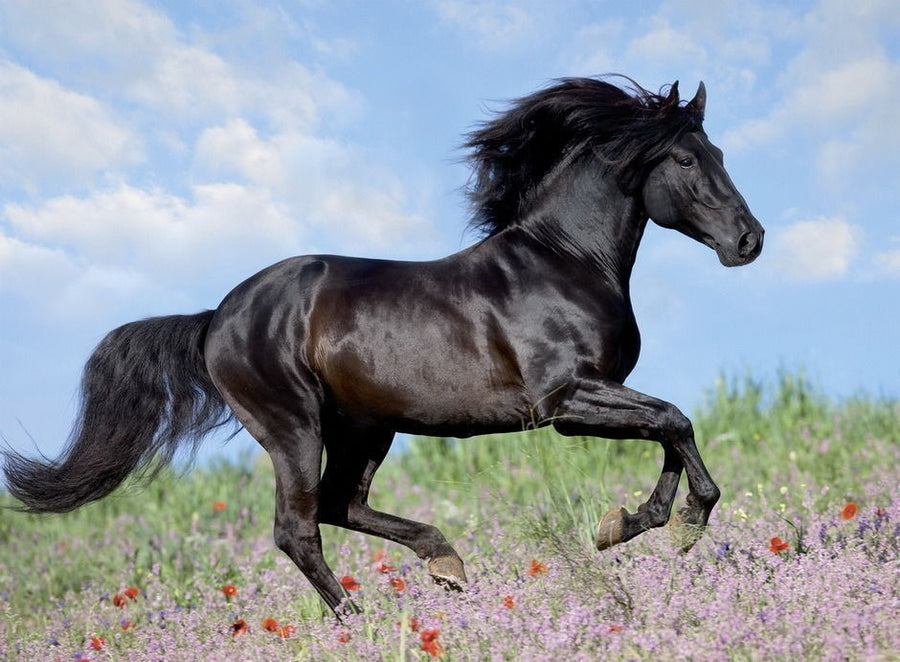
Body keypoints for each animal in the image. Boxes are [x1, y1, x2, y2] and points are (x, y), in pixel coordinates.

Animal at [3, 77, 763, 615]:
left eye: (722, 154)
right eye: (687, 158)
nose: (749, 241)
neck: (564, 260)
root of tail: (216, 317)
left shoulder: (595, 396)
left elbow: (668, 428)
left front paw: (631, 523)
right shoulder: (564, 401)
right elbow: (674, 421)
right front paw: (679, 523)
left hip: (366, 427)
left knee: (341, 505)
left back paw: (446, 564)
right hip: (294, 426)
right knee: (298, 526)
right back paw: (356, 619)